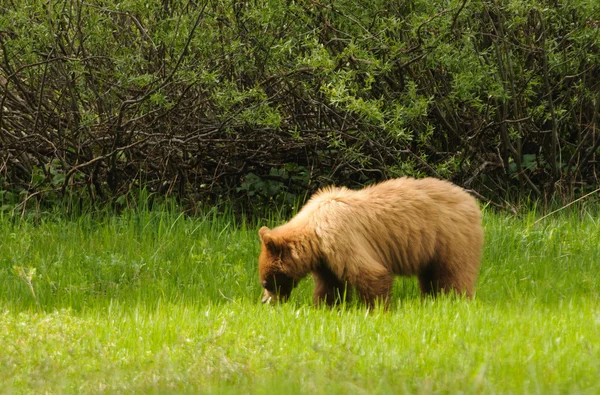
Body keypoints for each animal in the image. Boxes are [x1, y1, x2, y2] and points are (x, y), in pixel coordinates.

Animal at [258, 177, 482, 310]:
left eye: (266, 282)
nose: (264, 301)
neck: (314, 231)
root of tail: (470, 200)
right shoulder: (326, 258)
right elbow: (330, 285)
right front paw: (327, 307)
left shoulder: (341, 237)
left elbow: (370, 273)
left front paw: (377, 309)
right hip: (431, 248)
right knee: (430, 276)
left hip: (451, 238)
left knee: (453, 273)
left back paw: (455, 300)